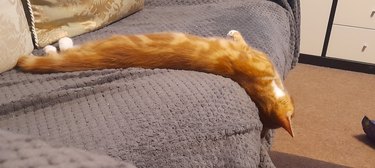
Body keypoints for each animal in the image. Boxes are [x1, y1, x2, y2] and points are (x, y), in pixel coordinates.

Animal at [16, 30, 296, 136]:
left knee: (61, 53)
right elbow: (240, 38)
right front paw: (234, 32)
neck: (261, 85)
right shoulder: (250, 52)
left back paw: (54, 46)